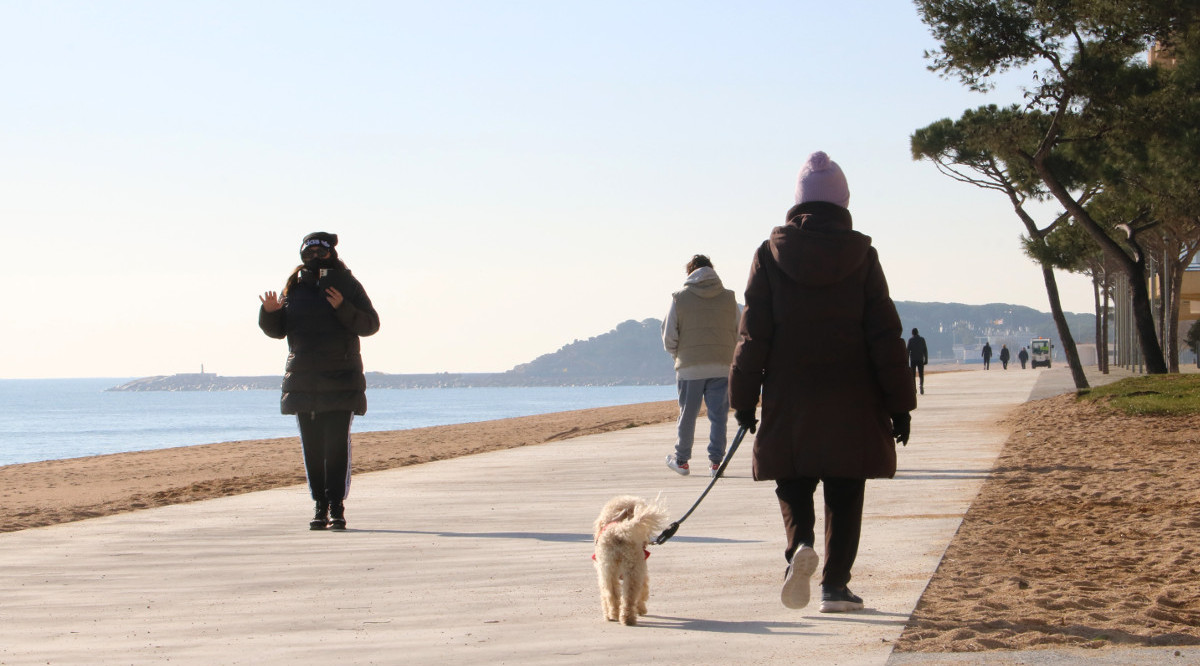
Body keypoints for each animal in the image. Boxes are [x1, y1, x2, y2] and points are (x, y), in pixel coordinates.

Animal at [592, 494, 672, 624]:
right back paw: (625, 618)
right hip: (630, 570)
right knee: (627, 596)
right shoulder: (642, 572)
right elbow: (643, 592)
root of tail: (618, 530)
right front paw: (641, 609)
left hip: (611, 571)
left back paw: (615, 616)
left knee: (614, 594)